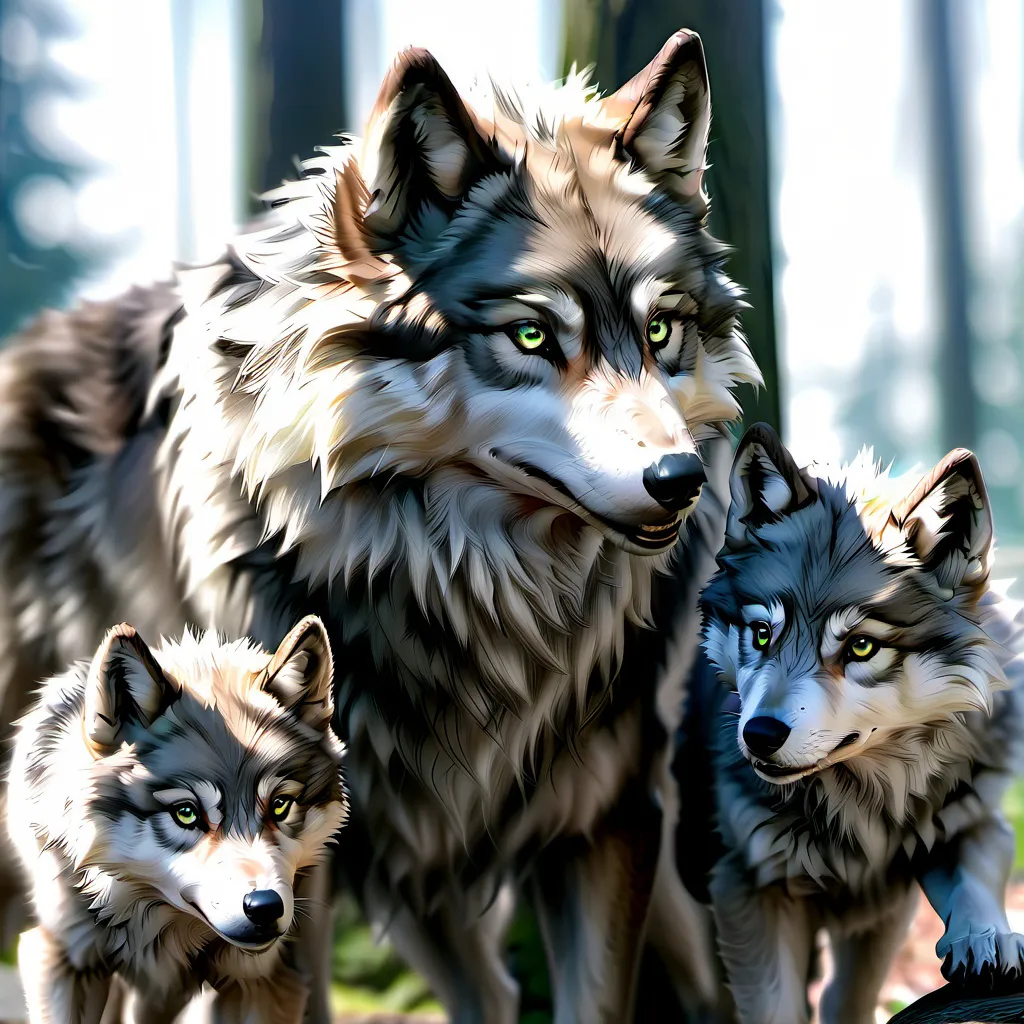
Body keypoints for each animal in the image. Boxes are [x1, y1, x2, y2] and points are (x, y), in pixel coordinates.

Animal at [6, 615, 348, 1024]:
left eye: (280, 805)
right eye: (186, 813)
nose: (265, 906)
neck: (164, 924)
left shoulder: (264, 980)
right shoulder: (63, 959)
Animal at [693, 423, 1024, 1024]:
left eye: (862, 646)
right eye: (762, 634)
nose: (759, 736)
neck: (863, 802)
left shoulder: (965, 822)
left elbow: (975, 874)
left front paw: (987, 939)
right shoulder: (744, 887)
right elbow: (774, 1007)